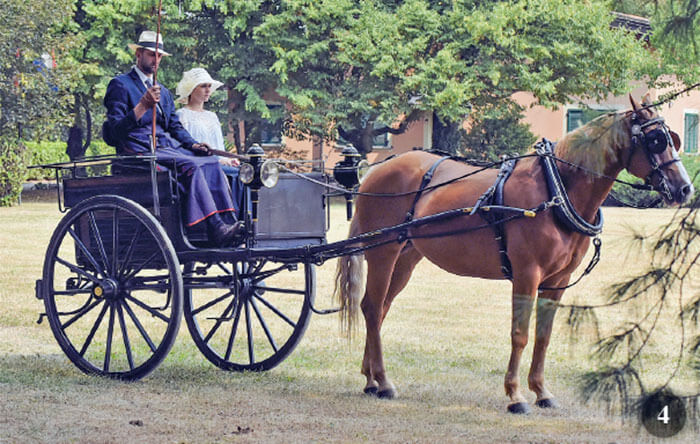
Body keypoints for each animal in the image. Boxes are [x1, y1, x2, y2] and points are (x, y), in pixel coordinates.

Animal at [333, 94, 695, 414]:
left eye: (673, 138)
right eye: (656, 141)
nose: (685, 188)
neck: (555, 189)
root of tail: (375, 170)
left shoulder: (557, 281)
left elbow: (543, 337)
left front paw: (542, 392)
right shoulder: (527, 274)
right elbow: (520, 334)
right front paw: (516, 395)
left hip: (407, 257)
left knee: (379, 310)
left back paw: (370, 378)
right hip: (383, 252)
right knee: (371, 308)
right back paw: (383, 381)